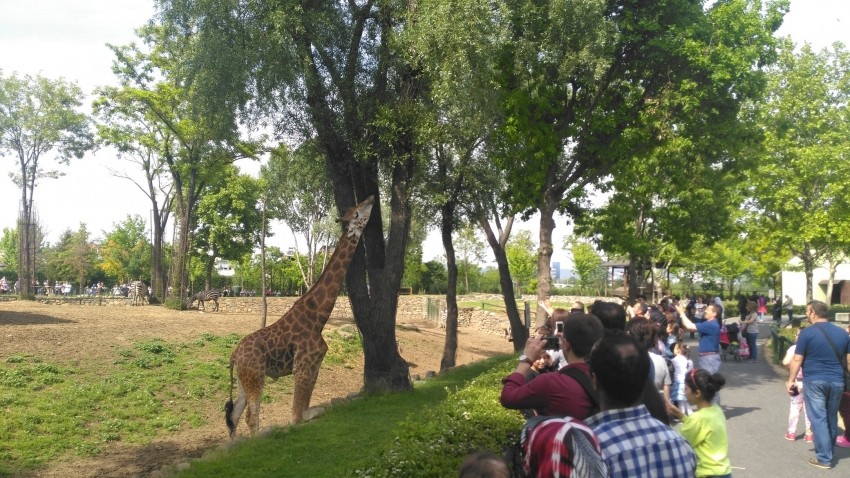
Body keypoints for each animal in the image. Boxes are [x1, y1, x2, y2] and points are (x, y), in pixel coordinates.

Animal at [224, 195, 372, 436]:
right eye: (359, 210)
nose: (371, 197)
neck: (318, 318)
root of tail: (234, 354)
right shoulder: (302, 366)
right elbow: (296, 417)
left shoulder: (314, 366)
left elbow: (309, 410)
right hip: (256, 376)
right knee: (251, 418)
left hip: (243, 379)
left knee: (234, 416)